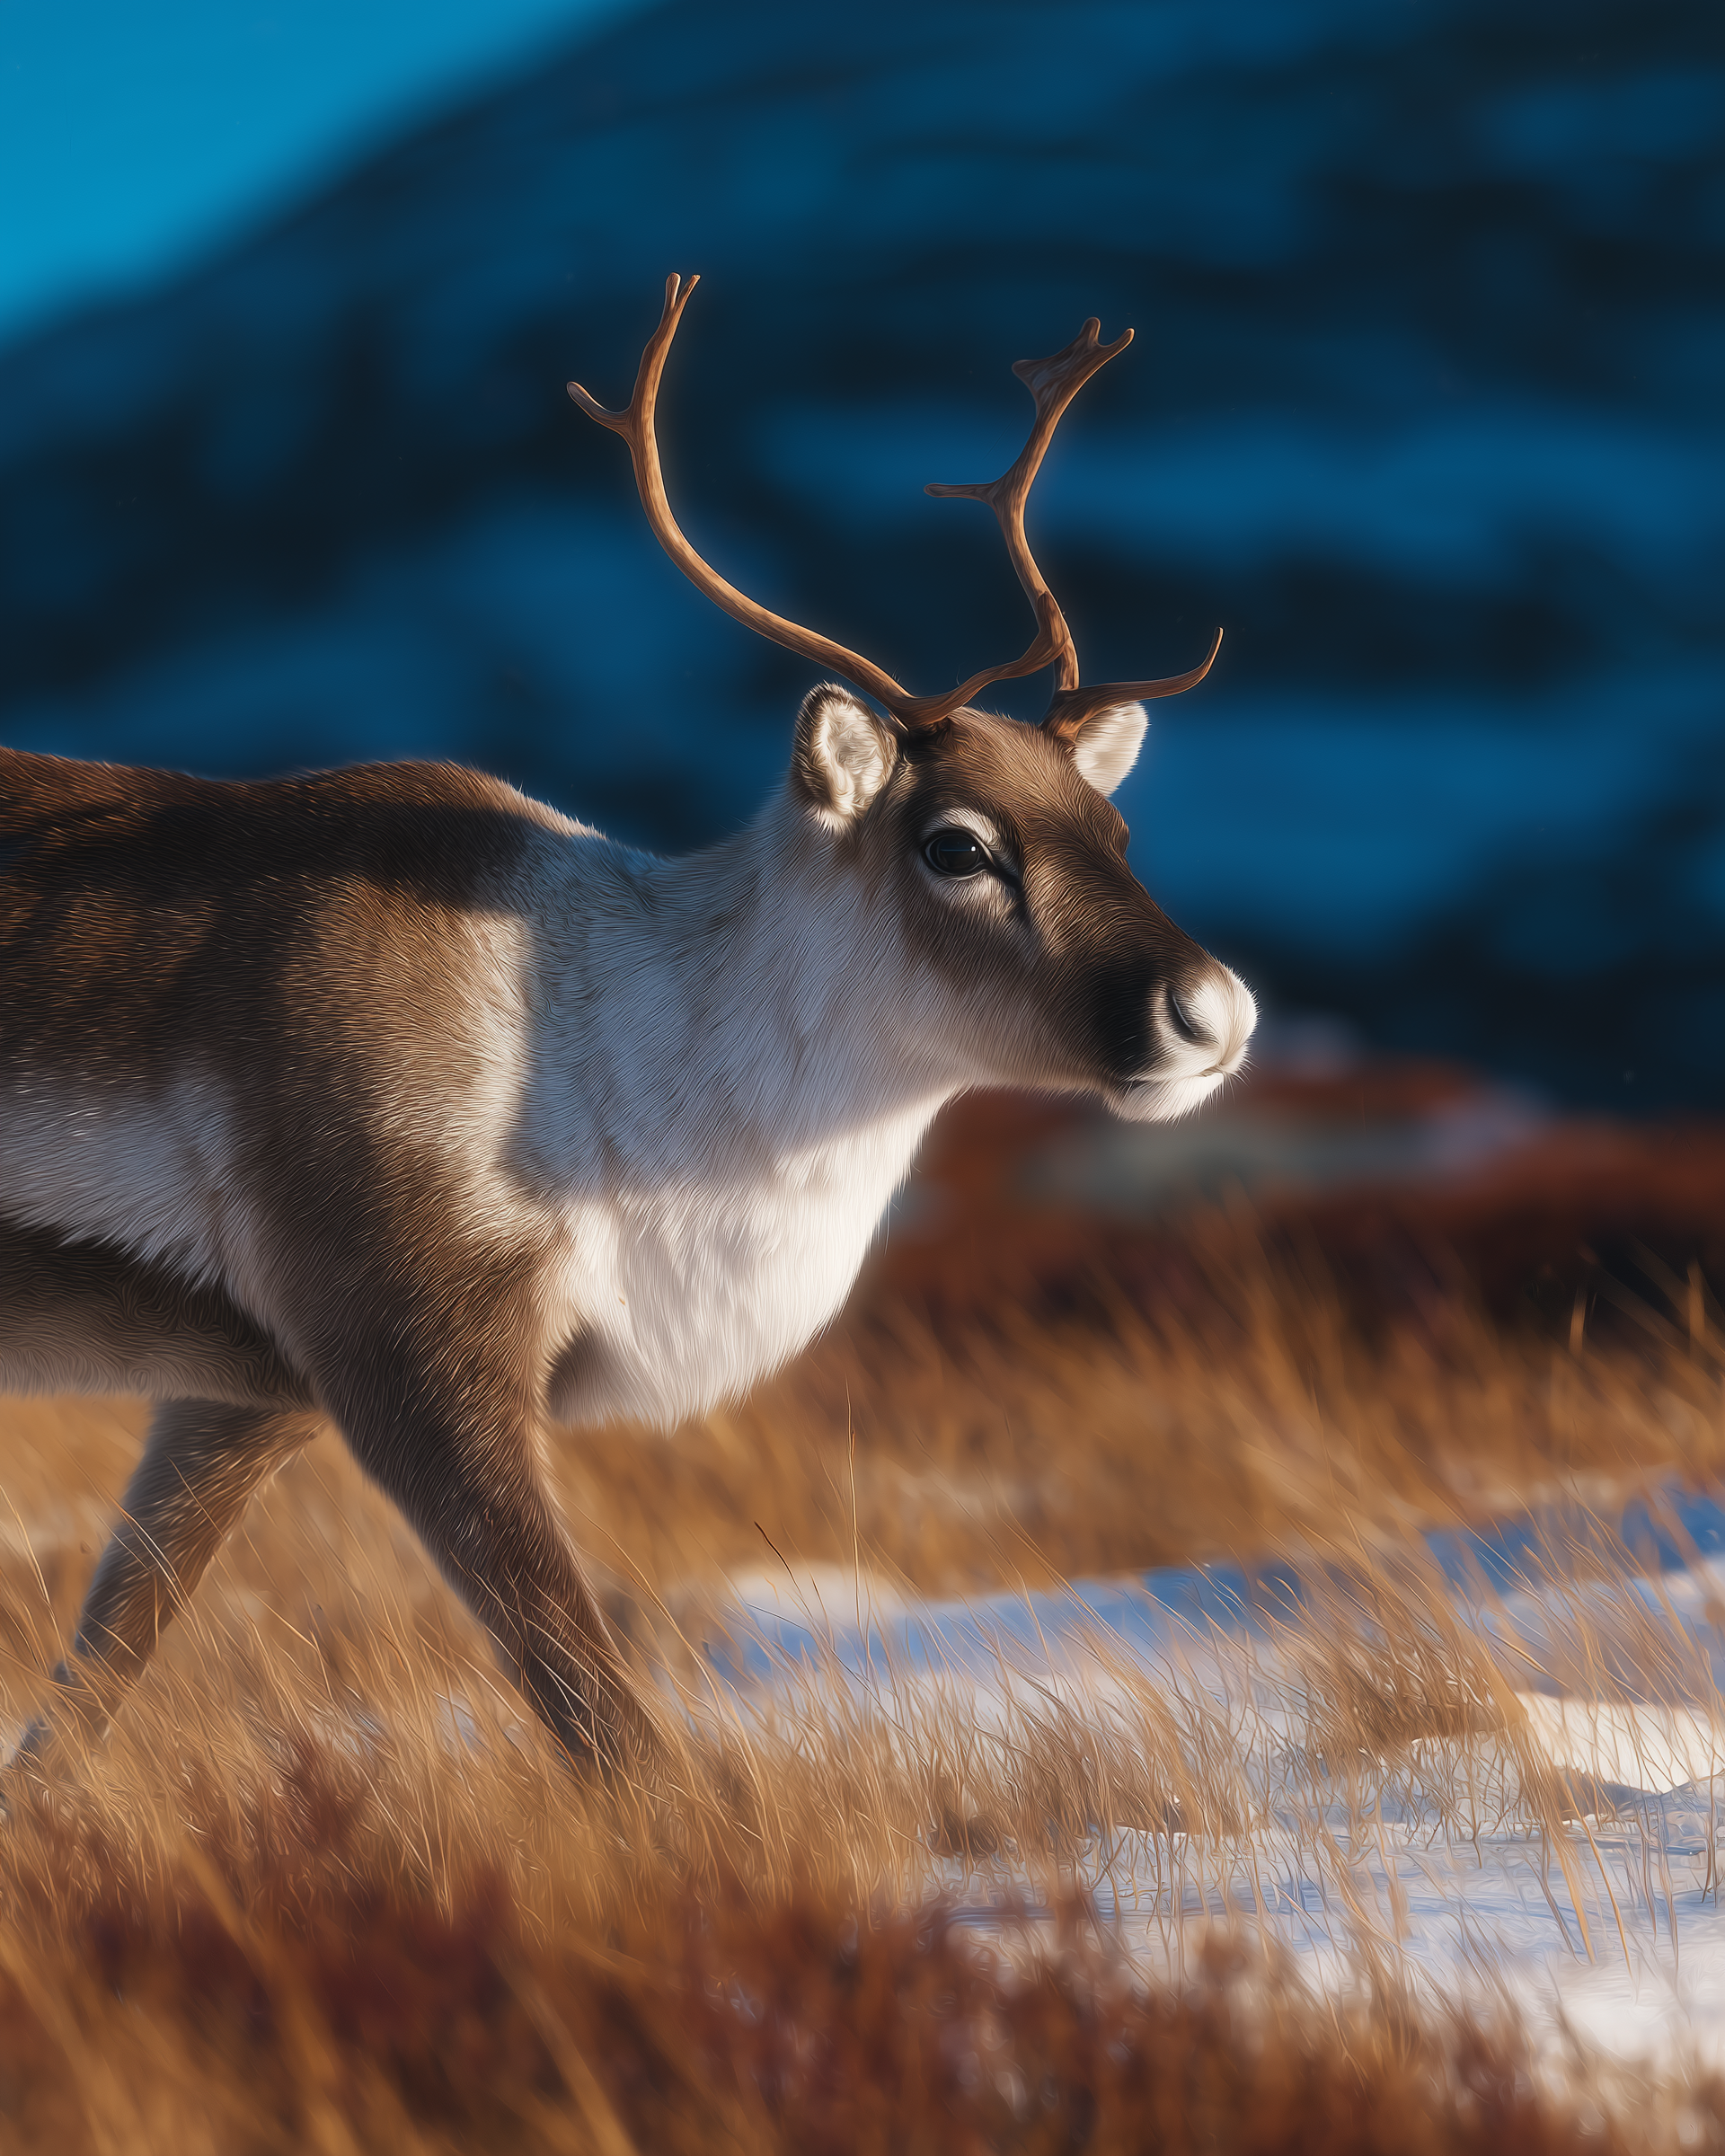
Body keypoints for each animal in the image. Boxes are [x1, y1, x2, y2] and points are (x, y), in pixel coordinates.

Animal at [0, 274, 1256, 1781]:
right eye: (958, 845)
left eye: (1116, 831)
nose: (1213, 1014)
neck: (610, 1060)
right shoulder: (407, 1347)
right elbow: (606, 1724)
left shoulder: (248, 1392)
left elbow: (87, 1695)